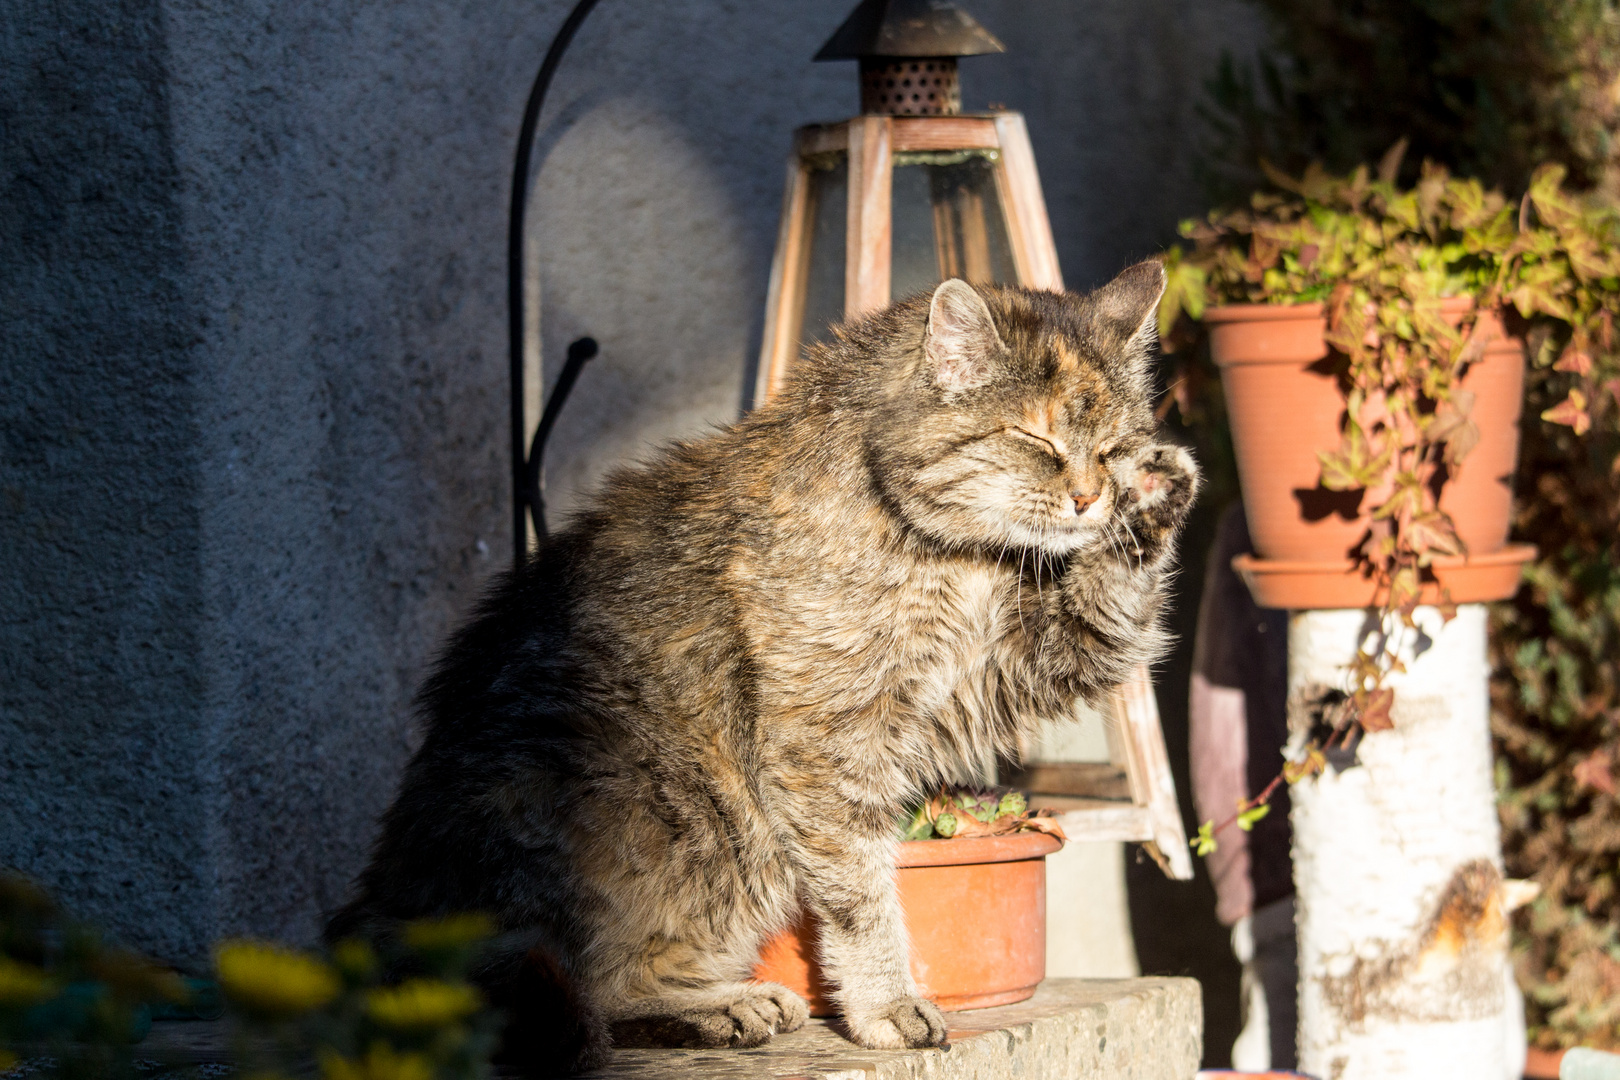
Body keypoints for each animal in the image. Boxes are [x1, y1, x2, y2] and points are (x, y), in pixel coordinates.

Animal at [328, 262, 1198, 1075]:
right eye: (1037, 440)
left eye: (1111, 447)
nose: (1090, 497)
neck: (961, 560)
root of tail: (383, 908)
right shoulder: (827, 739)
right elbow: (862, 894)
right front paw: (887, 1002)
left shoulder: (1014, 670)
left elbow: (1114, 604)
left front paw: (1159, 490)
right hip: (666, 810)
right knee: (577, 991)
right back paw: (705, 1008)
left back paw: (725, 1001)